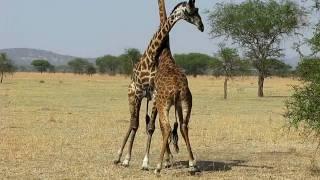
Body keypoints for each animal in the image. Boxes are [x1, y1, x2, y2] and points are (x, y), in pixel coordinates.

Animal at [114, 0, 205, 167]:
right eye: (192, 11)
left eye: (197, 10)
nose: (201, 26)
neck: (152, 56)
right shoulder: (138, 92)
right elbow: (136, 125)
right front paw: (127, 159)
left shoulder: (155, 94)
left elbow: (152, 127)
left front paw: (146, 162)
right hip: (131, 94)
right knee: (132, 122)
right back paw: (119, 156)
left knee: (159, 125)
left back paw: (168, 159)